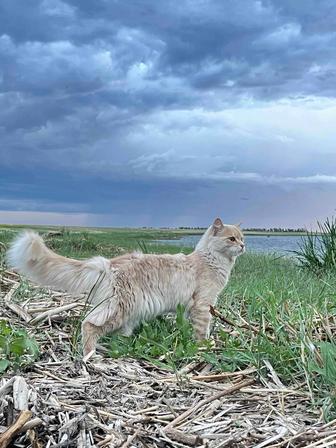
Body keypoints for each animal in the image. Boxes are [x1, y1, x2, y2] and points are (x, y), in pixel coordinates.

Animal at [7, 217, 244, 356]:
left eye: (242, 238)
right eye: (231, 239)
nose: (243, 246)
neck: (211, 260)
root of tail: (108, 263)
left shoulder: (191, 308)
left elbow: (191, 327)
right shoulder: (203, 304)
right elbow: (203, 329)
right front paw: (205, 345)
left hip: (128, 313)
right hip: (120, 309)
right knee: (88, 325)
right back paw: (90, 356)